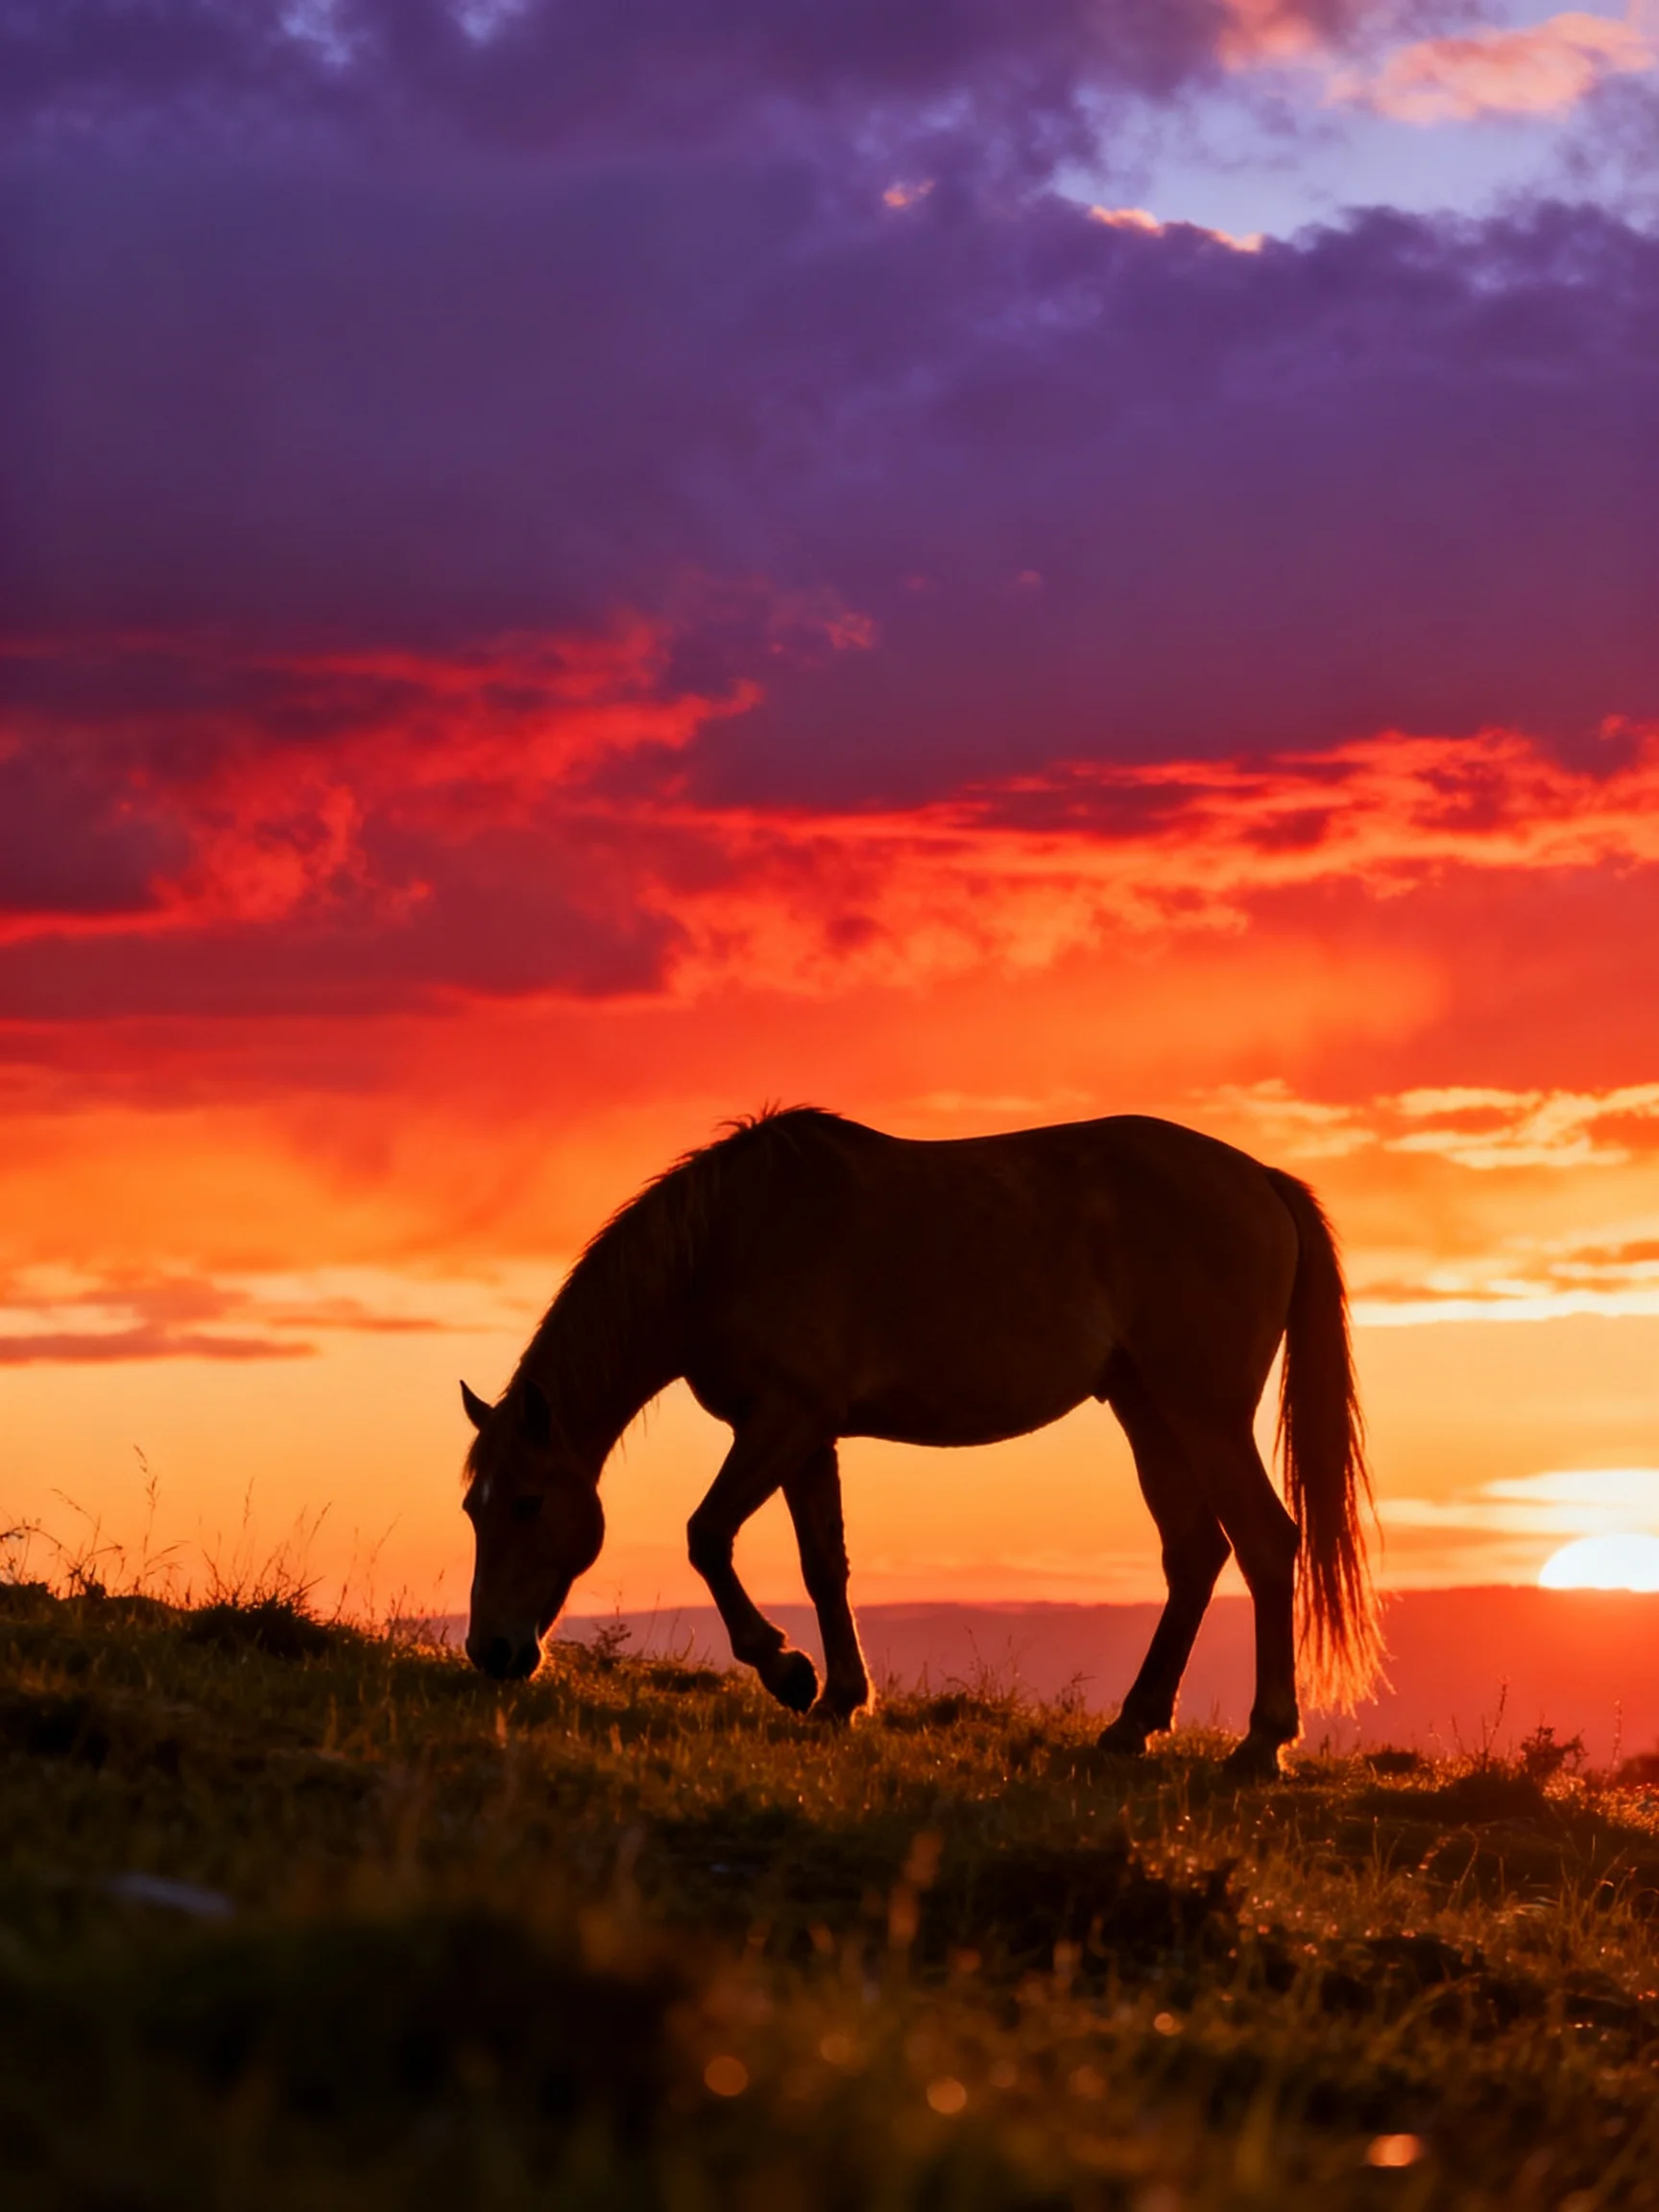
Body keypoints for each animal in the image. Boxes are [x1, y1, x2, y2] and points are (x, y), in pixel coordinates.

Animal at [459, 1107, 1379, 1777]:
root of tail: (1262, 1180)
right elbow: (823, 1564)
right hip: (1146, 1408)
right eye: (473, 1508)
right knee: (1195, 1554)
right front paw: (840, 1694)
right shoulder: (805, 1434)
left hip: (1204, 1410)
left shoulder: (783, 1419)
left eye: (528, 1502)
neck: (730, 1241)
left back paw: (1262, 1742)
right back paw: (1132, 1725)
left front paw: (786, 1671)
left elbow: (708, 1536)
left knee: (1266, 1543)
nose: (490, 1650)